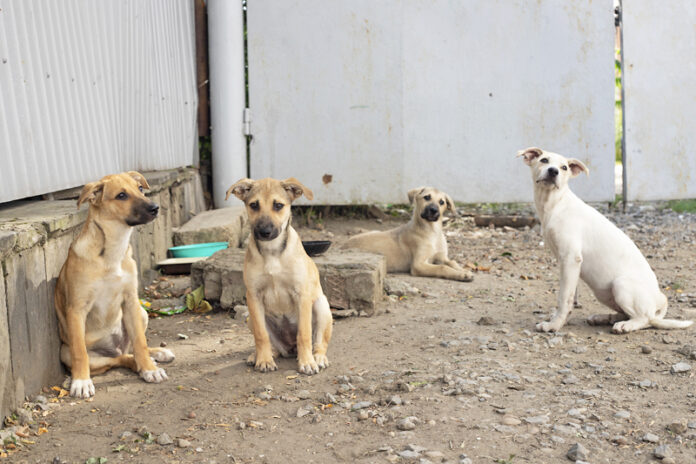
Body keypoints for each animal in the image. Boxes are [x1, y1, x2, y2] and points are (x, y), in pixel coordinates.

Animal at [54, 172, 174, 396]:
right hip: (65, 352)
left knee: (132, 349)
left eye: (140, 189)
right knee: (119, 359)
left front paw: (149, 369)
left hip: (141, 312)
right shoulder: (76, 309)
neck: (111, 251)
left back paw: (156, 355)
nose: (155, 208)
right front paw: (81, 382)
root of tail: (115, 348)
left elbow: (140, 342)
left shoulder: (130, 300)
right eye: (121, 195)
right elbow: (80, 352)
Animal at [224, 176, 330, 376]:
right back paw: (259, 355)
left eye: (278, 205)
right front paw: (264, 360)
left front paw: (307, 362)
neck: (272, 252)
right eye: (254, 205)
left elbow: (304, 334)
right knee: (271, 343)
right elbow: (261, 335)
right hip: (251, 316)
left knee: (319, 343)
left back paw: (318, 358)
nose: (264, 232)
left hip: (322, 306)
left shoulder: (302, 295)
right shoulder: (253, 295)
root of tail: (289, 348)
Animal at [344, 187, 474, 280]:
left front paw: (464, 271)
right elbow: (442, 267)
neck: (432, 231)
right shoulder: (418, 264)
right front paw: (461, 274)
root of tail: (342, 246)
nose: (433, 210)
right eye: (427, 197)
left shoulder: (441, 256)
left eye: (442, 202)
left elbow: (452, 262)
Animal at [516, 147, 692, 332]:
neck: (556, 204)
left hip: (620, 285)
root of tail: (659, 300)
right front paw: (563, 320)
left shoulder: (570, 258)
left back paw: (625, 326)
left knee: (645, 319)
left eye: (564, 168)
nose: (553, 171)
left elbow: (564, 297)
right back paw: (604, 318)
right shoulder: (569, 263)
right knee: (626, 313)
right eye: (544, 160)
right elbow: (571, 296)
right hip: (604, 293)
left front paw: (554, 325)